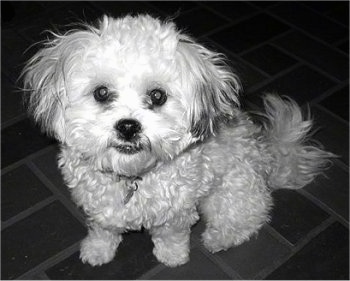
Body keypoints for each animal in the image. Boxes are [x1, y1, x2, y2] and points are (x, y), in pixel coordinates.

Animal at [21, 13, 334, 266]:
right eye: (101, 92)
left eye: (157, 96)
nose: (128, 127)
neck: (132, 176)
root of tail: (268, 154)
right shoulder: (99, 207)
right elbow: (103, 230)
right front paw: (97, 251)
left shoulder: (178, 211)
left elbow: (170, 235)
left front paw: (172, 257)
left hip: (229, 193)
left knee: (247, 218)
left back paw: (218, 239)